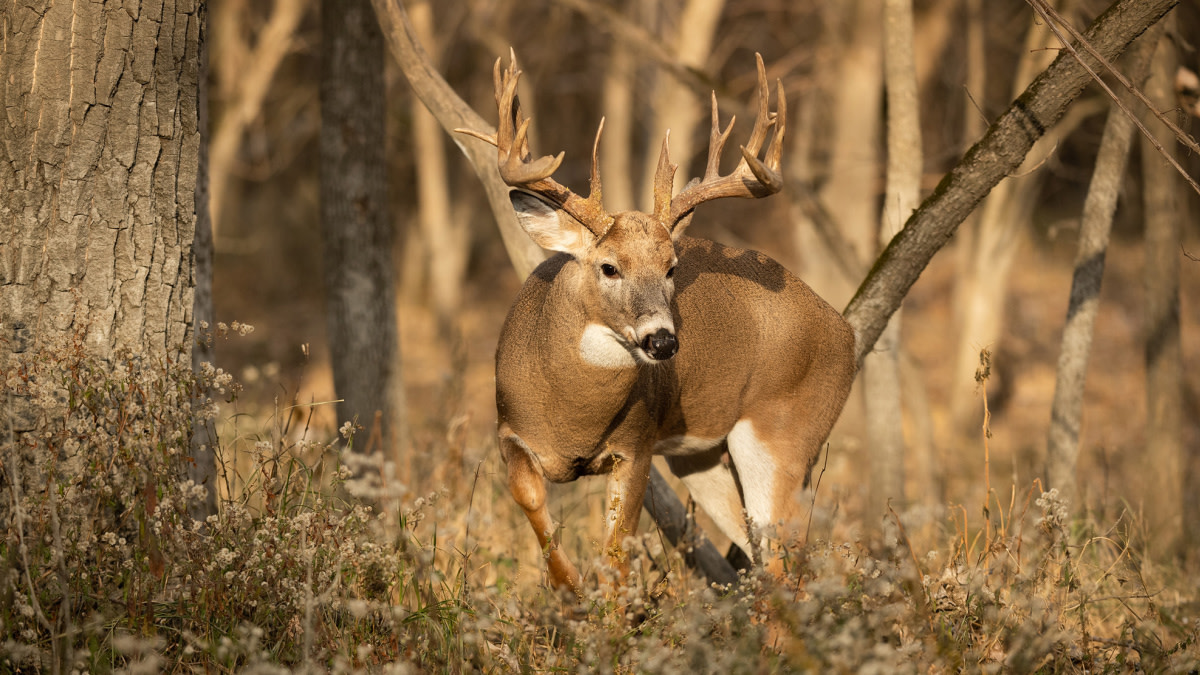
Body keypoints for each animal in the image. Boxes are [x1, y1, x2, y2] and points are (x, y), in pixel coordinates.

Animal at [459, 52, 857, 592]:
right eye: (609, 267)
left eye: (671, 267)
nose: (663, 342)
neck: (570, 416)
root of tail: (845, 332)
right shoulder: (508, 430)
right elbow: (532, 500)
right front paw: (568, 589)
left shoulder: (637, 444)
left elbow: (617, 554)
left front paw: (598, 604)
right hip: (699, 455)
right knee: (761, 554)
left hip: (785, 433)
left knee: (783, 559)